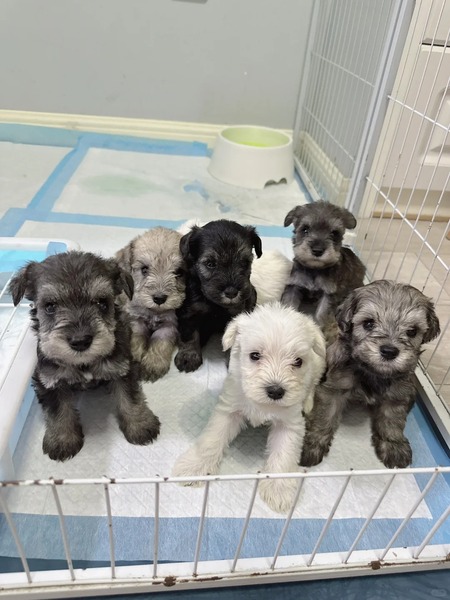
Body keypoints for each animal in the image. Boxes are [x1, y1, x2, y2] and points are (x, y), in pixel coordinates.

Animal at [9, 251, 161, 461]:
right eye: (50, 306)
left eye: (102, 302)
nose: (80, 341)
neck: (83, 363)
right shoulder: (49, 381)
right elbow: (58, 411)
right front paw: (62, 440)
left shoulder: (122, 369)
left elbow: (131, 398)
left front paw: (141, 425)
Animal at [115, 227, 186, 382]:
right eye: (144, 269)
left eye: (179, 272)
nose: (159, 298)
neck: (154, 311)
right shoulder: (136, 321)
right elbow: (136, 339)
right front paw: (134, 357)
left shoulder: (169, 325)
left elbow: (160, 342)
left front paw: (153, 363)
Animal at [172, 302, 326, 513]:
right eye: (255, 355)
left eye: (298, 361)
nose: (275, 391)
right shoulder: (228, 409)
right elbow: (211, 439)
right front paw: (194, 467)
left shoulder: (289, 424)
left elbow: (284, 454)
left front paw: (279, 490)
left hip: (318, 365)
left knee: (312, 385)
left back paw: (308, 403)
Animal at [174, 219, 262, 373]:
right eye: (210, 263)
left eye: (245, 262)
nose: (231, 292)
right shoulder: (189, 313)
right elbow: (189, 335)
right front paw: (188, 356)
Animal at [300, 280, 440, 470]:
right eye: (368, 323)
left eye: (412, 331)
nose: (389, 351)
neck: (373, 372)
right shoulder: (333, 387)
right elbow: (324, 415)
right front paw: (312, 444)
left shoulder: (396, 394)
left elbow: (392, 420)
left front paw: (393, 446)